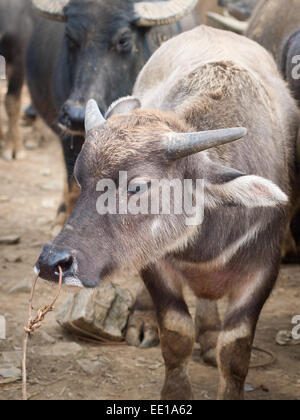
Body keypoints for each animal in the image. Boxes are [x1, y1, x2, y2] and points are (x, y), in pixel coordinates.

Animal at [36, 26, 298, 400]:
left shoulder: (263, 269)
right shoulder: (156, 264)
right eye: (80, 179)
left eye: (137, 187)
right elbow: (176, 334)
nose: (51, 262)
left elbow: (234, 351)